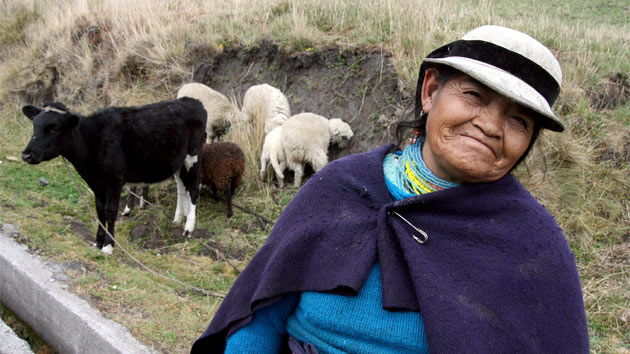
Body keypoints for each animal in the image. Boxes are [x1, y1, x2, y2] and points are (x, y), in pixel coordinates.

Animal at [19, 99, 206, 254]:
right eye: (35, 125)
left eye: (55, 128)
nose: (26, 155)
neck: (94, 138)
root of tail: (192, 101)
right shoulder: (96, 182)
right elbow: (100, 211)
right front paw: (97, 242)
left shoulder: (114, 179)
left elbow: (110, 212)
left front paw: (108, 245)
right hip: (178, 163)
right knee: (182, 188)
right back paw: (178, 219)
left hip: (193, 156)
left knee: (193, 188)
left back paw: (189, 227)